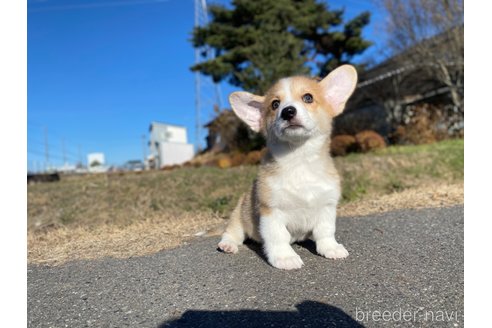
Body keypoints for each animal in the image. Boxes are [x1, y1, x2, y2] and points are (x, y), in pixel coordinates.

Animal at [217, 64, 356, 270]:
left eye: (308, 97)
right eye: (275, 104)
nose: (288, 111)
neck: (299, 160)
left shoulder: (327, 206)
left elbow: (325, 231)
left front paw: (331, 248)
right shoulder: (271, 210)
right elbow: (278, 236)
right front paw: (285, 257)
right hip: (239, 215)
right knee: (233, 233)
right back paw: (228, 245)